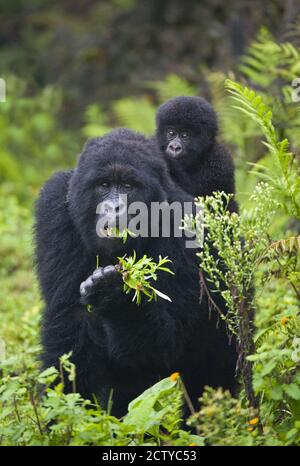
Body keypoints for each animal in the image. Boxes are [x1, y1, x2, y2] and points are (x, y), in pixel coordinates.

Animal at [35, 129, 237, 416]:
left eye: (129, 187)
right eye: (104, 185)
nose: (114, 208)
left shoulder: (185, 223)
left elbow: (165, 344)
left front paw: (115, 298)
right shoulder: (53, 207)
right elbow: (69, 321)